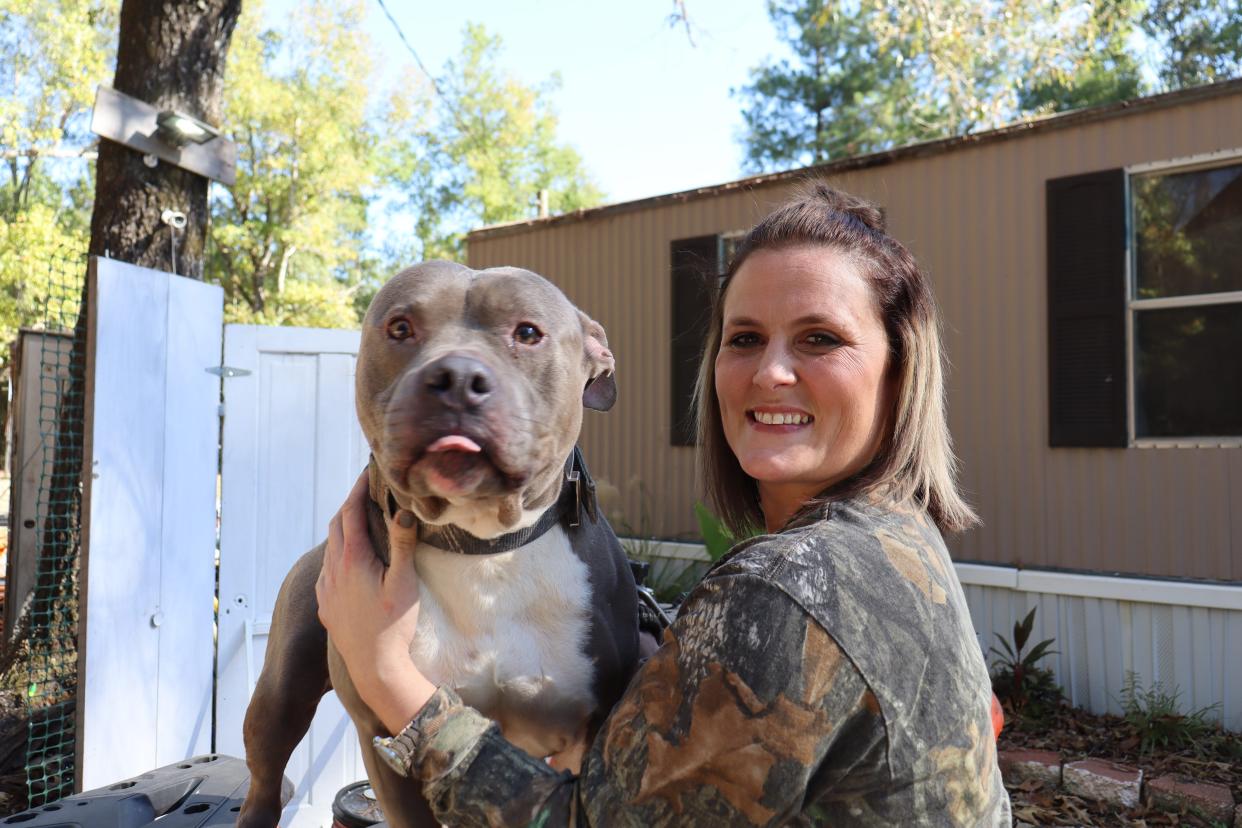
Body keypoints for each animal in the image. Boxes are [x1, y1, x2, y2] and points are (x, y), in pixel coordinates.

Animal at [234, 261, 640, 824]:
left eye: (527, 333)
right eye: (401, 327)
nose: (458, 379)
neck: (486, 550)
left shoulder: (588, 736)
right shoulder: (386, 736)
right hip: (280, 695)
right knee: (265, 778)